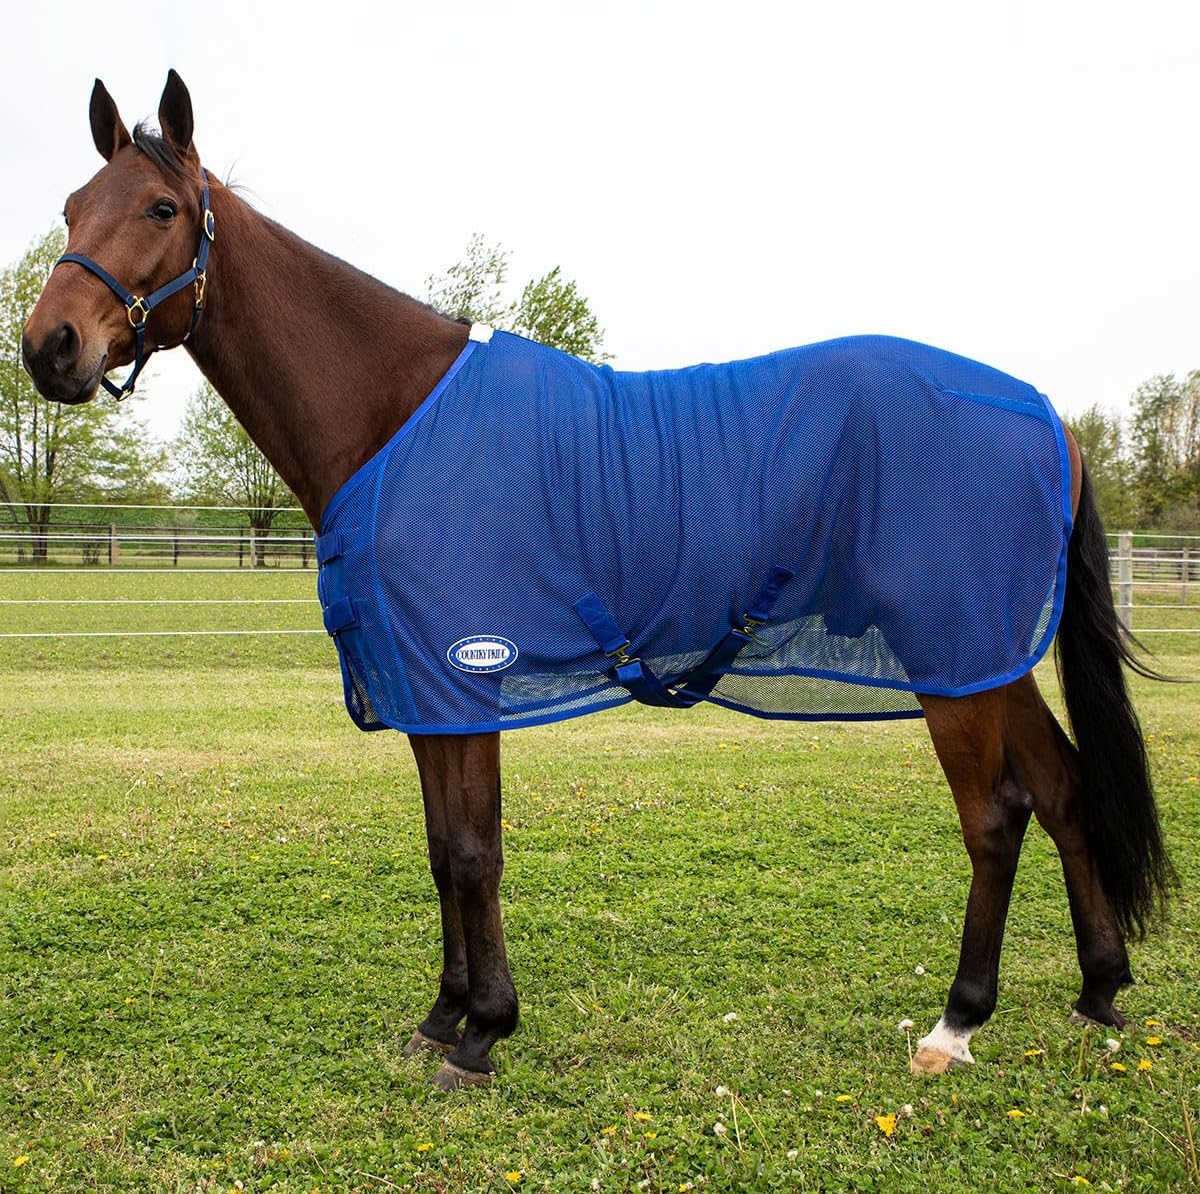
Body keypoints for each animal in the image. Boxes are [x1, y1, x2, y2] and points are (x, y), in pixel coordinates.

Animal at [21, 72, 1173, 1091]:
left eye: (162, 206)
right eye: (75, 205)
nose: (49, 347)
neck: (395, 415)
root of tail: (1044, 411)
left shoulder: (464, 672)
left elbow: (474, 851)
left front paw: (484, 1031)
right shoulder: (426, 686)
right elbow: (439, 848)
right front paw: (443, 1016)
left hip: (955, 660)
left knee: (998, 816)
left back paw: (956, 1024)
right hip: (985, 656)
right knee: (1065, 792)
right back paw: (1097, 988)